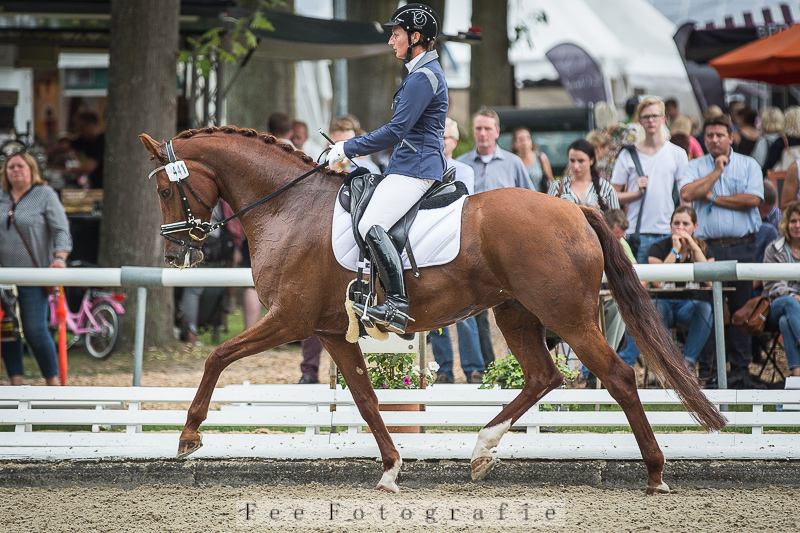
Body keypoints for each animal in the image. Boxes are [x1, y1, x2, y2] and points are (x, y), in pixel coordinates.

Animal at [140, 126, 726, 494]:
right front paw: (391, 469)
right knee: (543, 376)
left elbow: (217, 356)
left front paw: (188, 437)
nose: (175, 254)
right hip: (515, 313)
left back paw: (655, 472)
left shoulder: (288, 319)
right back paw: (482, 449)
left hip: (569, 317)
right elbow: (366, 400)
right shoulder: (329, 331)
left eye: (168, 189)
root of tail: (575, 209)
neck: (288, 205)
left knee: (619, 377)